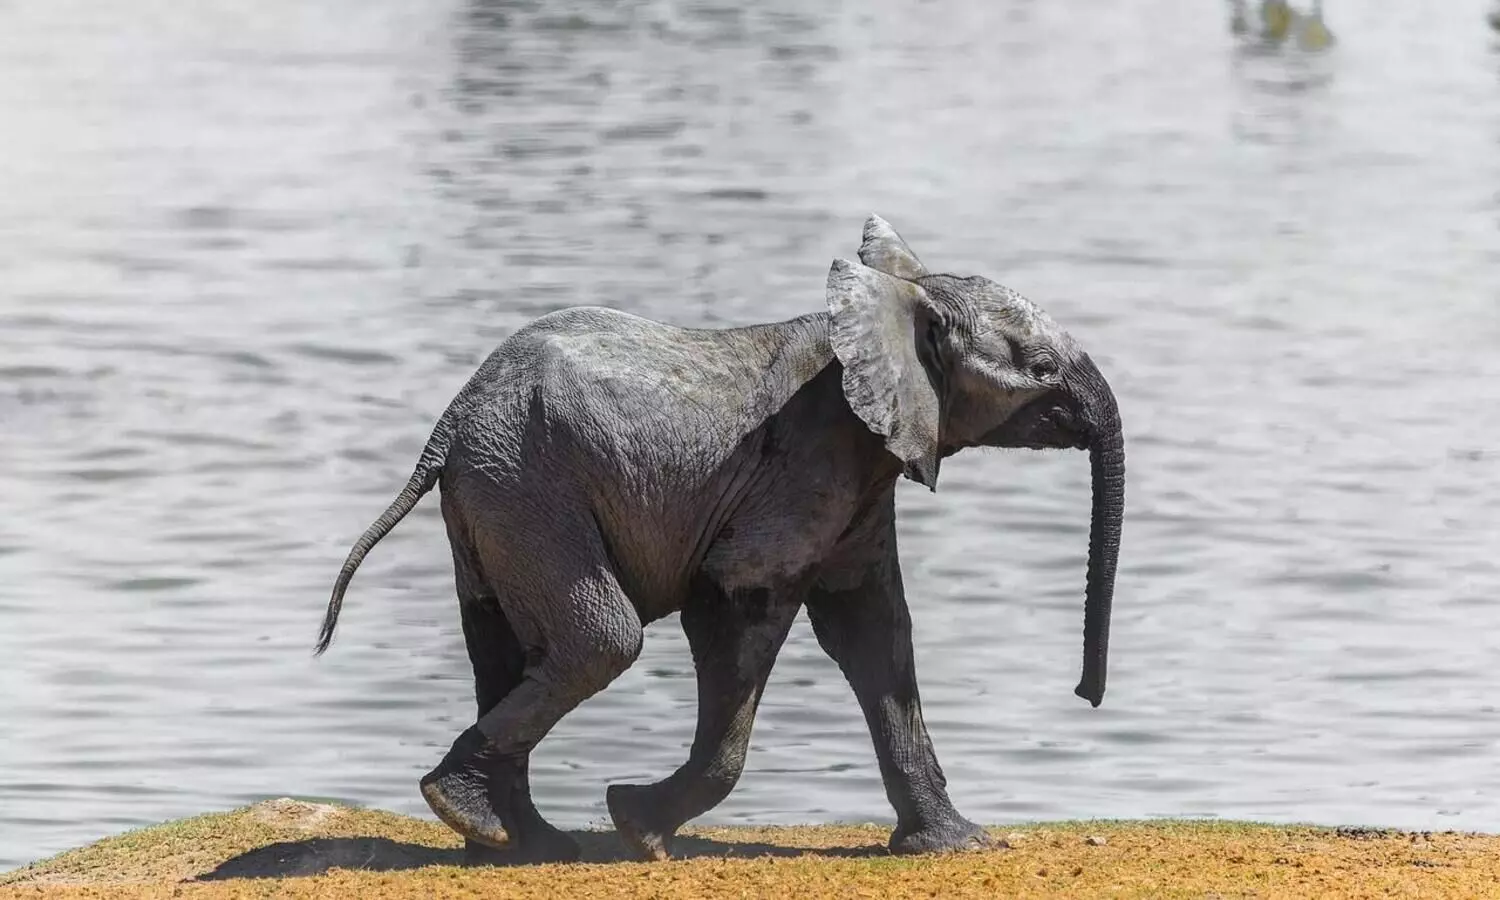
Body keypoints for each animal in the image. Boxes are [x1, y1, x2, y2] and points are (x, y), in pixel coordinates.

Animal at [315, 215, 1125, 864]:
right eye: (1040, 369)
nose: (1086, 696)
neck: (889, 307)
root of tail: (449, 424)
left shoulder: (863, 478)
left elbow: (873, 632)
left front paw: (958, 846)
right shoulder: (807, 464)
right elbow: (735, 607)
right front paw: (637, 827)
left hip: (496, 493)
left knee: (504, 645)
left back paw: (515, 841)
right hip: (527, 485)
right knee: (602, 641)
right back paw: (482, 817)